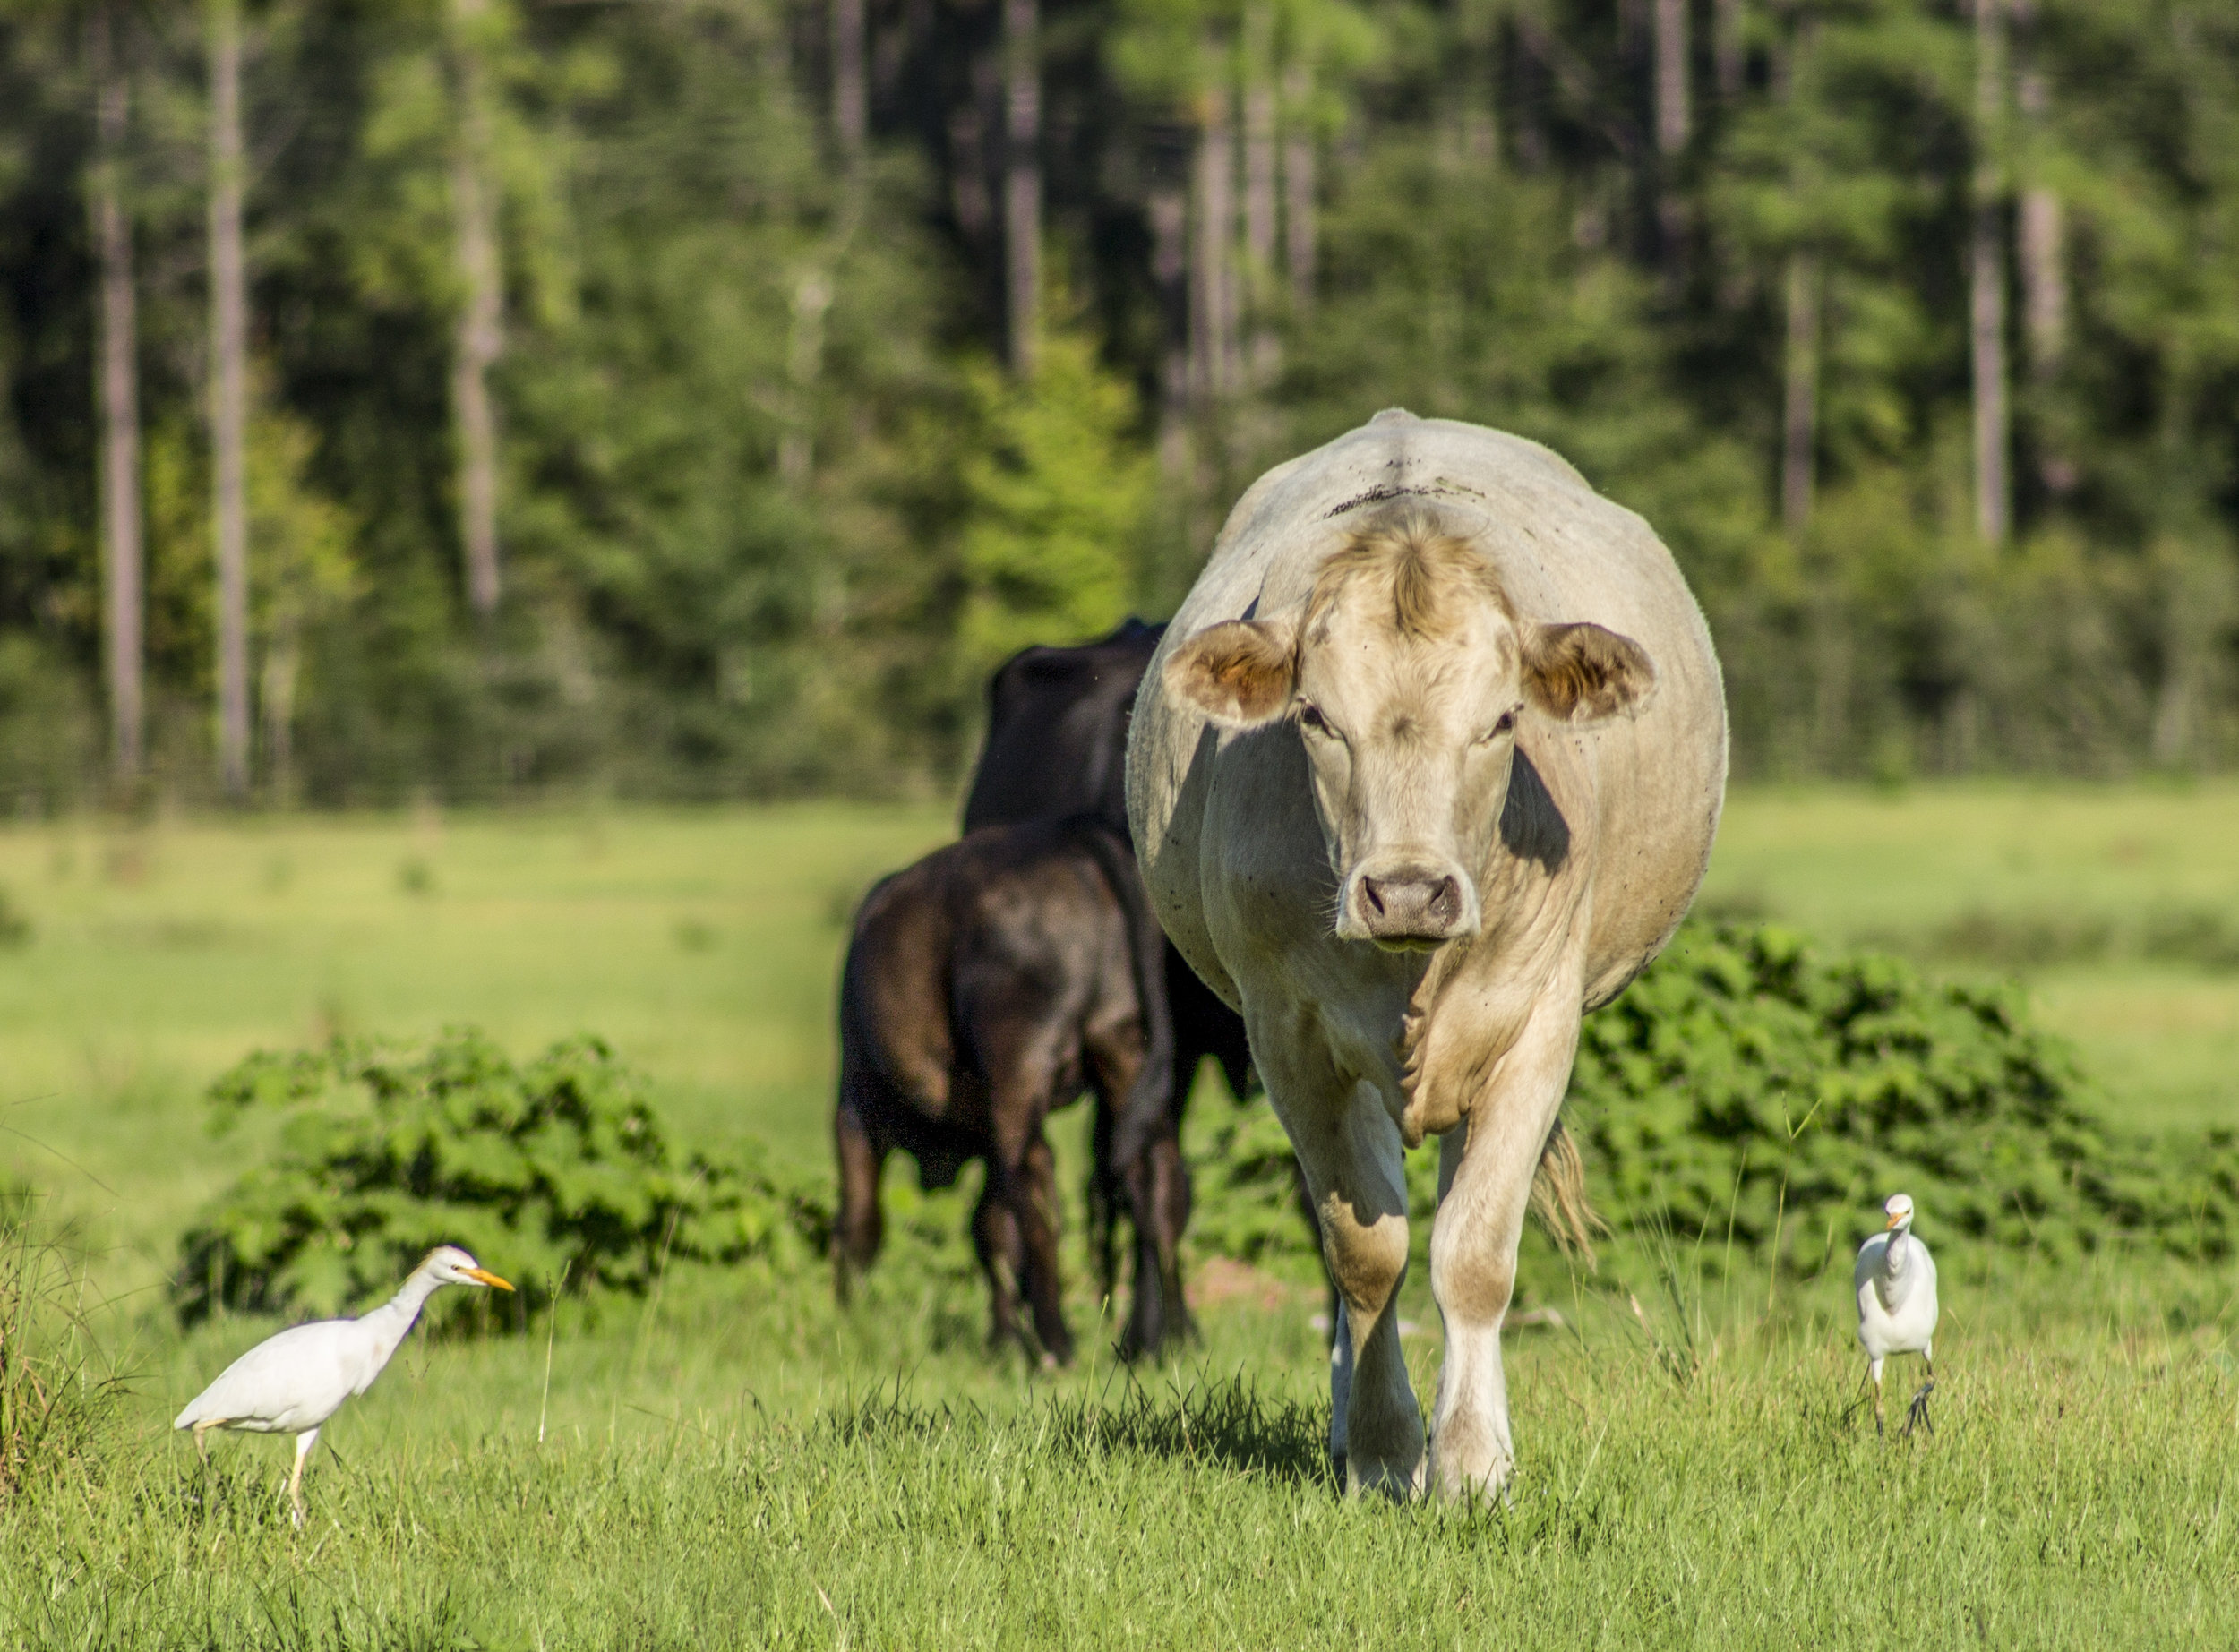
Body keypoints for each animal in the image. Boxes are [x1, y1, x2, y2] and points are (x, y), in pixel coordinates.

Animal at [824, 815, 1173, 1361]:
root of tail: (1069, 837)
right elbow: (990, 1229)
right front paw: (1002, 1340)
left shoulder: (855, 1107)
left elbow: (862, 1221)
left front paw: (848, 1323)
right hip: (1122, 1044)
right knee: (1149, 1174)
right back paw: (1154, 1338)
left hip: (1018, 1069)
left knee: (1036, 1185)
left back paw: (1056, 1343)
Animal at [1128, 409, 1720, 1495]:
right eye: (1316, 717)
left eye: (1502, 718)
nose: (1406, 890)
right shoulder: (1289, 1038)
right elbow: (1364, 1252)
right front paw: (1379, 1451)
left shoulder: (1537, 1029)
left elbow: (1474, 1254)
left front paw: (1473, 1463)